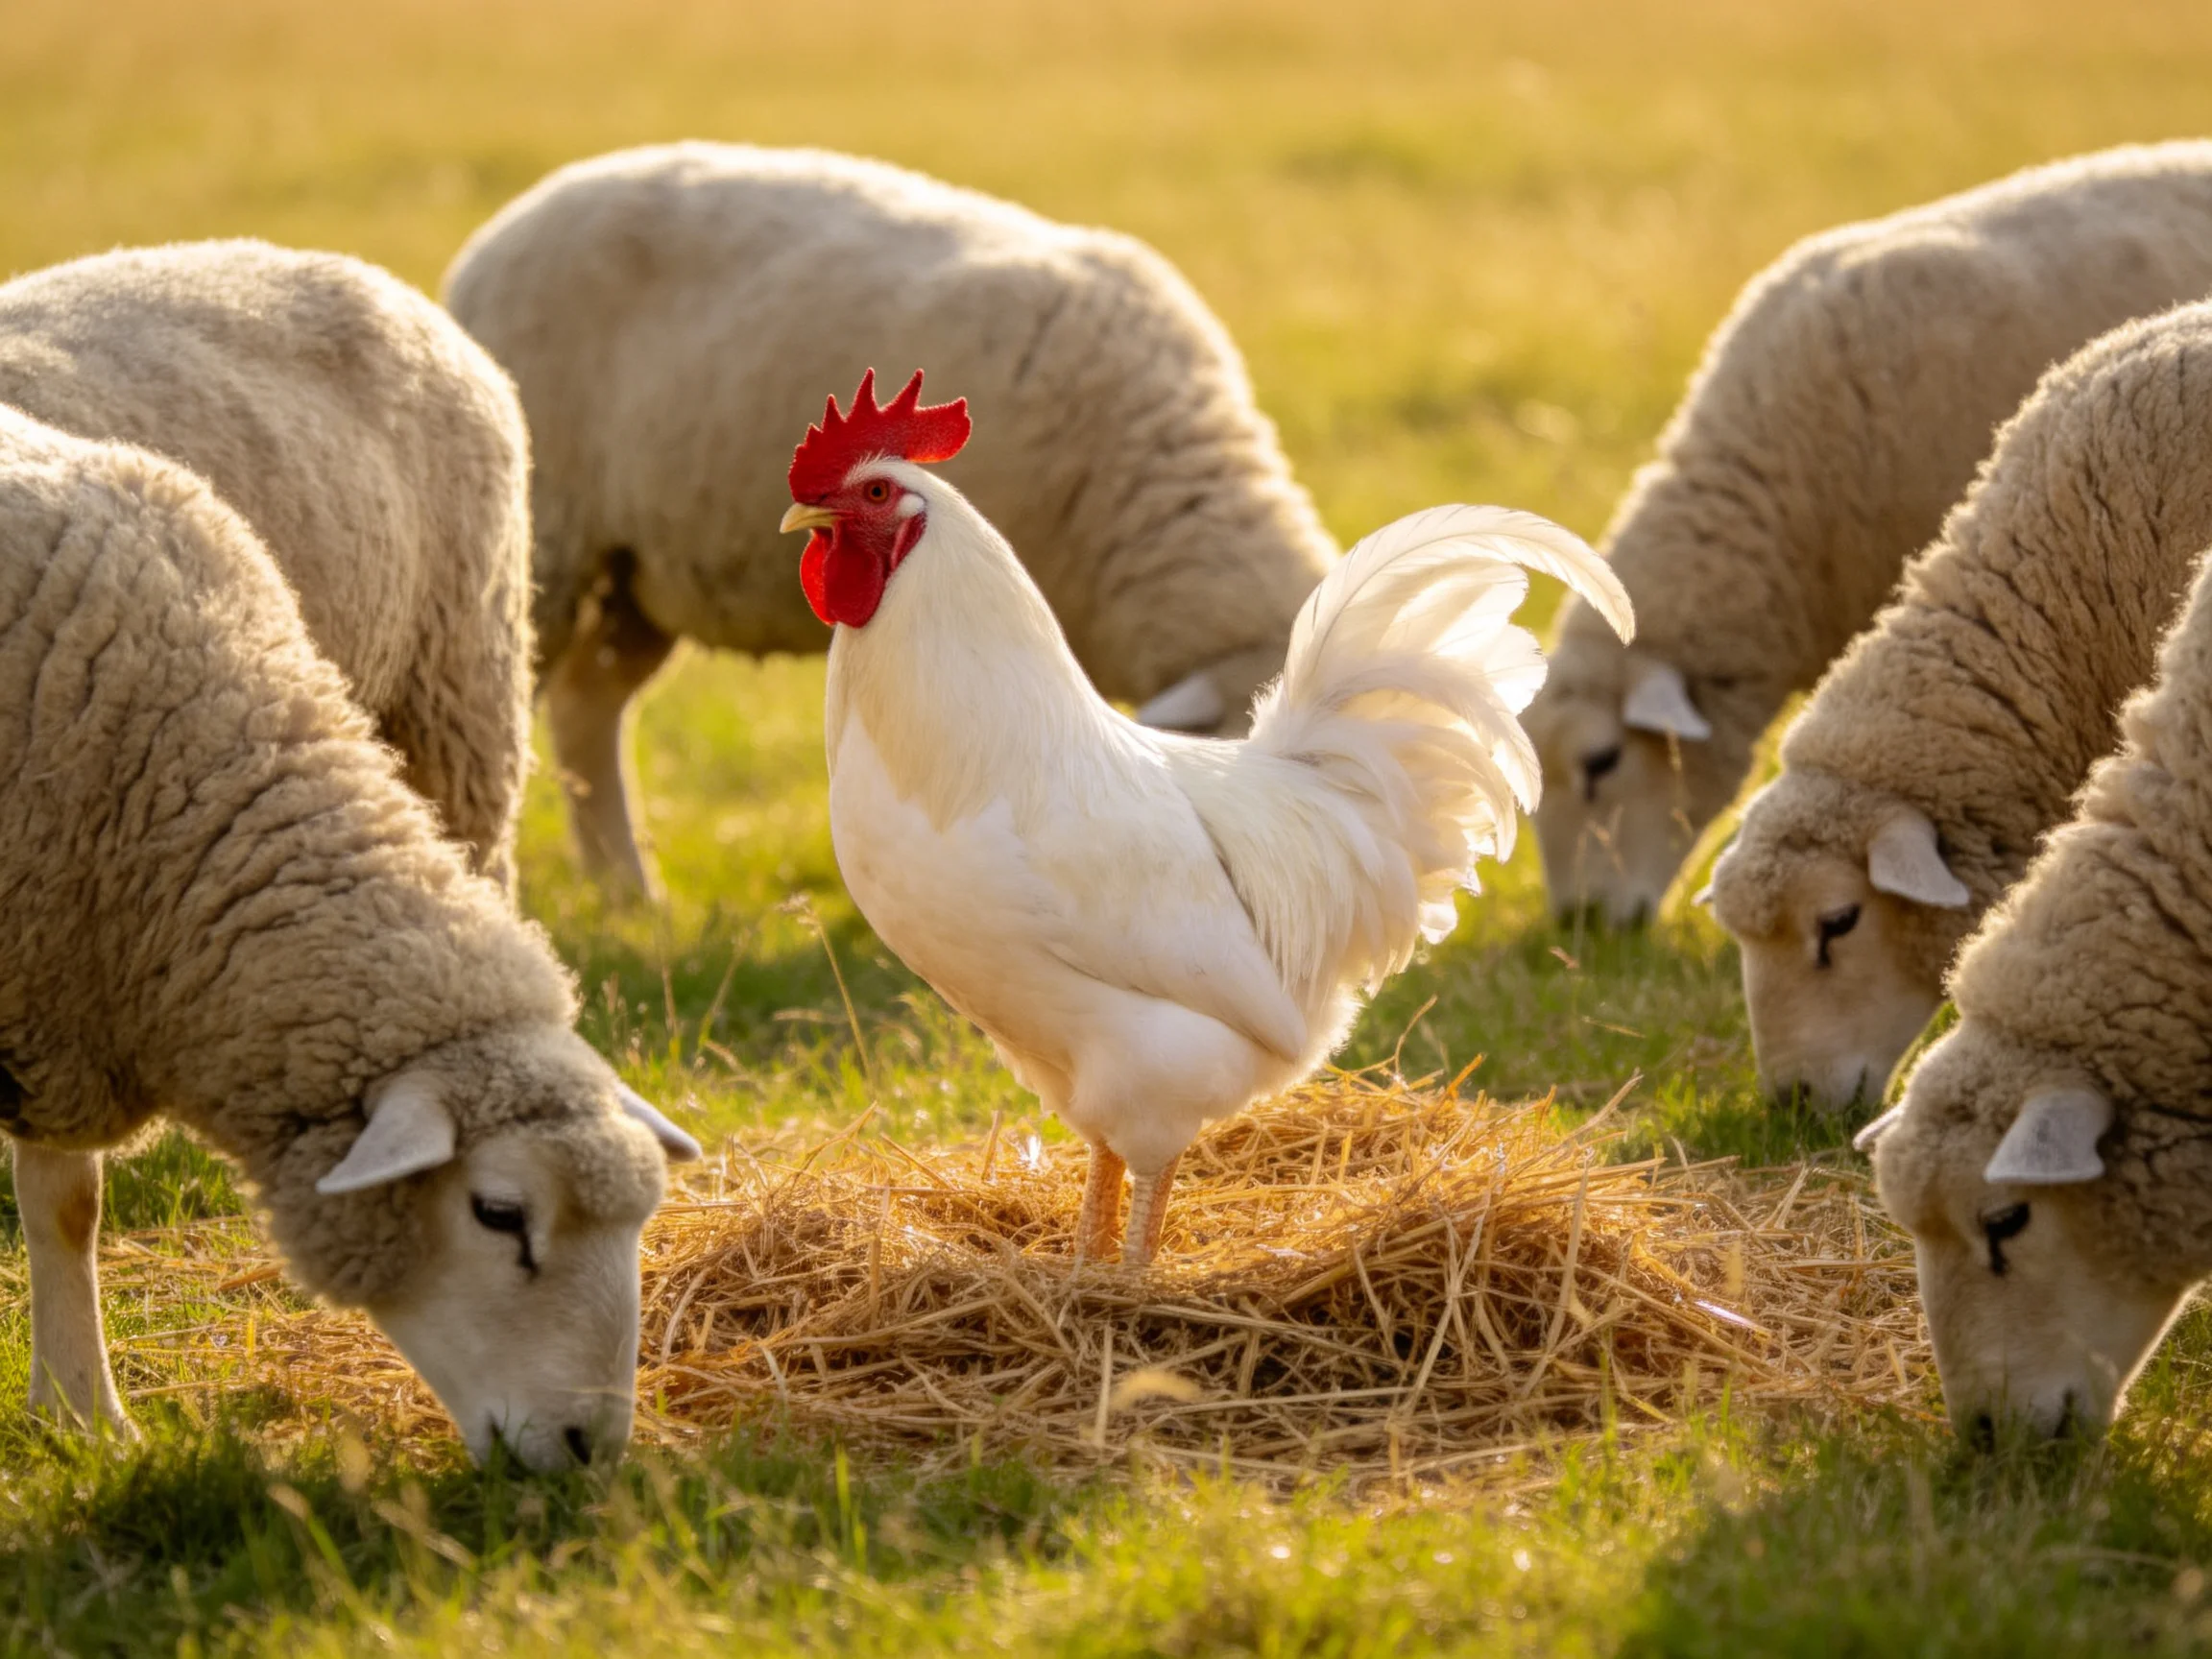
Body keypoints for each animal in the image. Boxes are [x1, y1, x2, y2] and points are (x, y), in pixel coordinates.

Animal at [0, 406, 700, 1468]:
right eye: (499, 1214)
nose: (592, 1449)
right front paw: (85, 1412)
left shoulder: (61, 985)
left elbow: (68, 1205)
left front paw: (80, 1415)